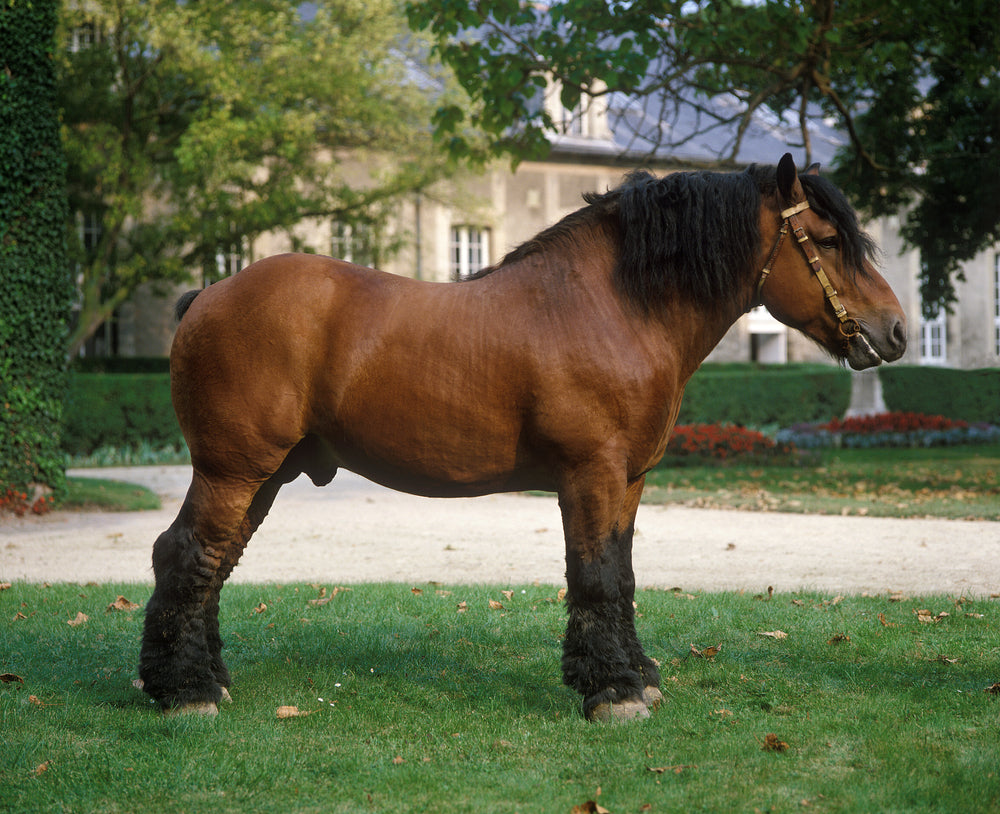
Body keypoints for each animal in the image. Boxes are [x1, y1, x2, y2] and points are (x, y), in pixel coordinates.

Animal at [139, 154, 906, 721]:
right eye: (829, 241)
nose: (895, 330)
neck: (616, 306)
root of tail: (207, 295)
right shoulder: (593, 475)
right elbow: (595, 575)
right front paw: (614, 692)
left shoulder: (629, 480)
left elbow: (622, 573)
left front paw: (636, 675)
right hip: (234, 469)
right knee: (186, 556)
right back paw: (187, 693)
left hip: (264, 476)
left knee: (214, 563)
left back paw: (206, 678)